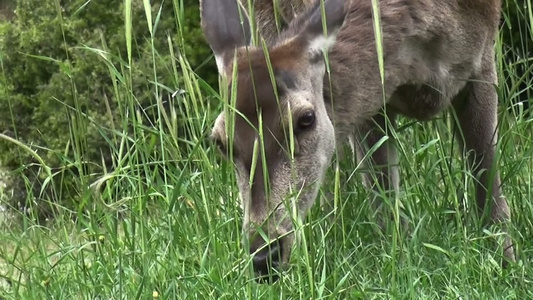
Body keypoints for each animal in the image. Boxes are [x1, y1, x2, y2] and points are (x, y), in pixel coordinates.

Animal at [197, 0, 512, 282]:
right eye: (220, 142)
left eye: (306, 119)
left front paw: (504, 261)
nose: (264, 255)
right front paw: (398, 260)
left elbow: (487, 177)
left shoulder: (483, 55)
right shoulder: (372, 102)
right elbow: (383, 197)